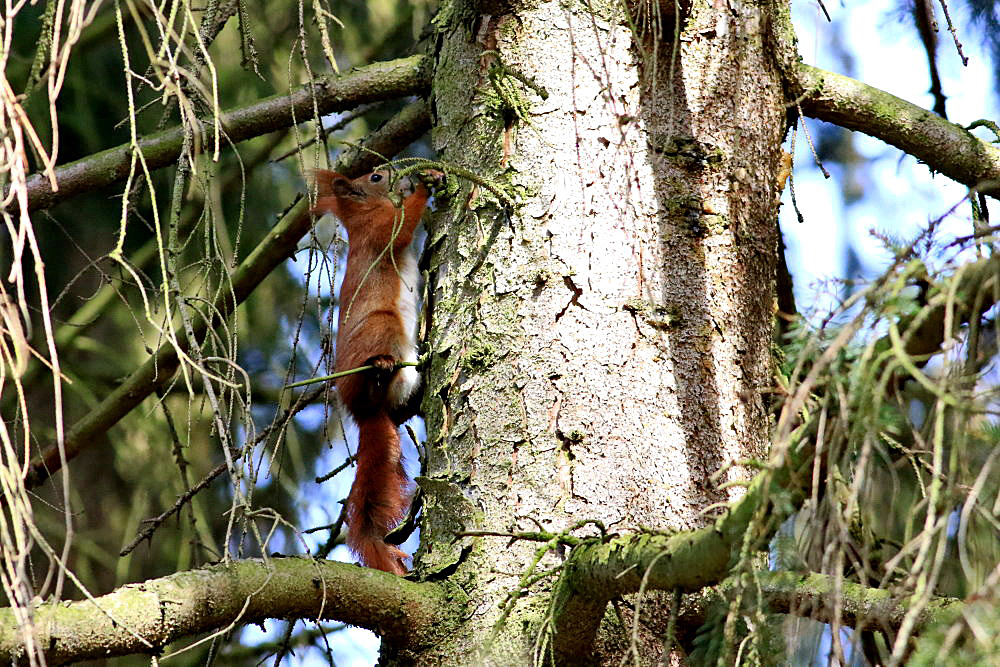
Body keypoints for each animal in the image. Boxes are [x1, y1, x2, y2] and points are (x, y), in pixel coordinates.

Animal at [312, 167, 438, 576]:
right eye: (377, 176)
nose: (404, 173)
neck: (361, 217)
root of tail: (366, 412)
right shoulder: (380, 231)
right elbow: (402, 226)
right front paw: (426, 186)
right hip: (384, 326)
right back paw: (382, 366)